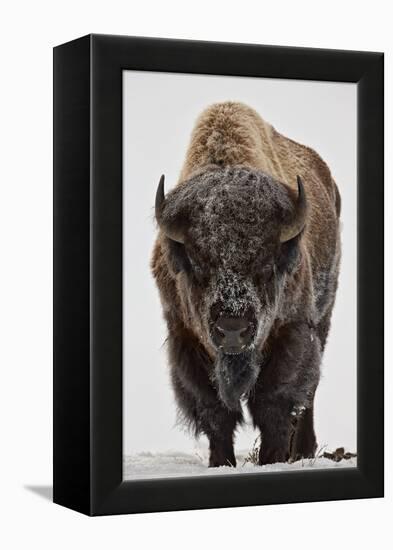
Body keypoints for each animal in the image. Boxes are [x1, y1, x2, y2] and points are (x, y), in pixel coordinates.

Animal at [151, 101, 340, 468]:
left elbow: (275, 402)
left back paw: (303, 450)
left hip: (323, 318)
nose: (233, 329)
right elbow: (214, 411)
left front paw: (272, 459)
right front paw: (221, 462)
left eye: (266, 265)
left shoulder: (291, 331)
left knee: (308, 393)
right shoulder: (185, 338)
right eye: (197, 264)